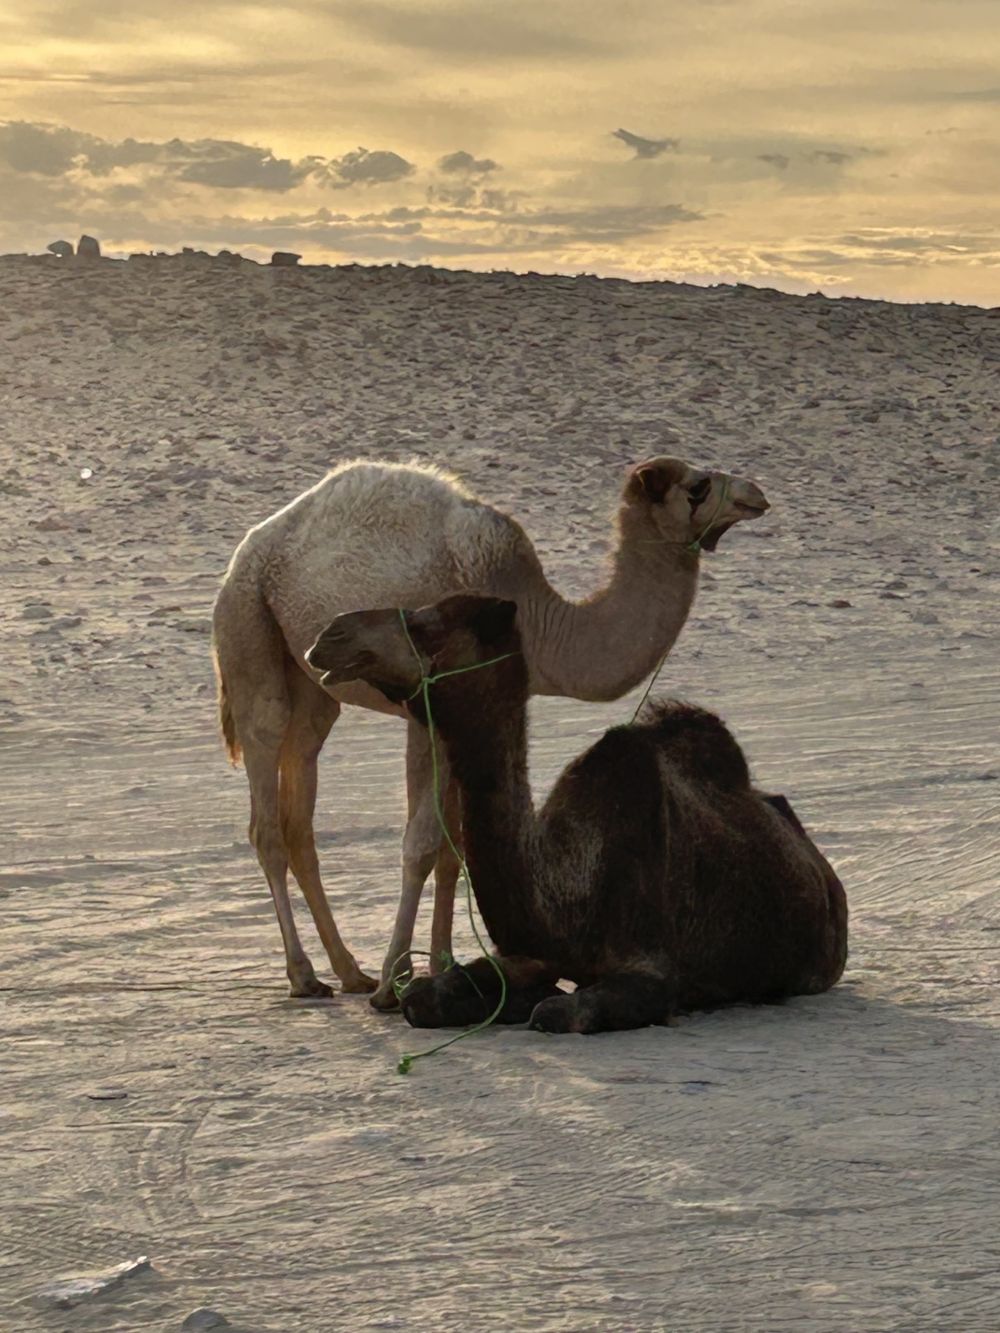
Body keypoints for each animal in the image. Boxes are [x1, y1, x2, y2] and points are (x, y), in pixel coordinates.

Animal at [212, 455, 768, 1007]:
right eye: (698, 487)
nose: (755, 494)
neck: (537, 619)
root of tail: (247, 552)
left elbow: (452, 848)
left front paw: (440, 965)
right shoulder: (430, 711)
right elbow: (422, 844)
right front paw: (396, 979)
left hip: (313, 684)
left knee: (300, 803)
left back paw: (348, 972)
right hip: (247, 622)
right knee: (266, 792)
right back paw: (304, 975)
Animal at [307, 594, 848, 1033]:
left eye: (426, 624)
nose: (329, 634)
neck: (566, 887)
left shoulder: (651, 967)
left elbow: (556, 1012)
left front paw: (537, 1003)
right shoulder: (532, 951)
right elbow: (423, 998)